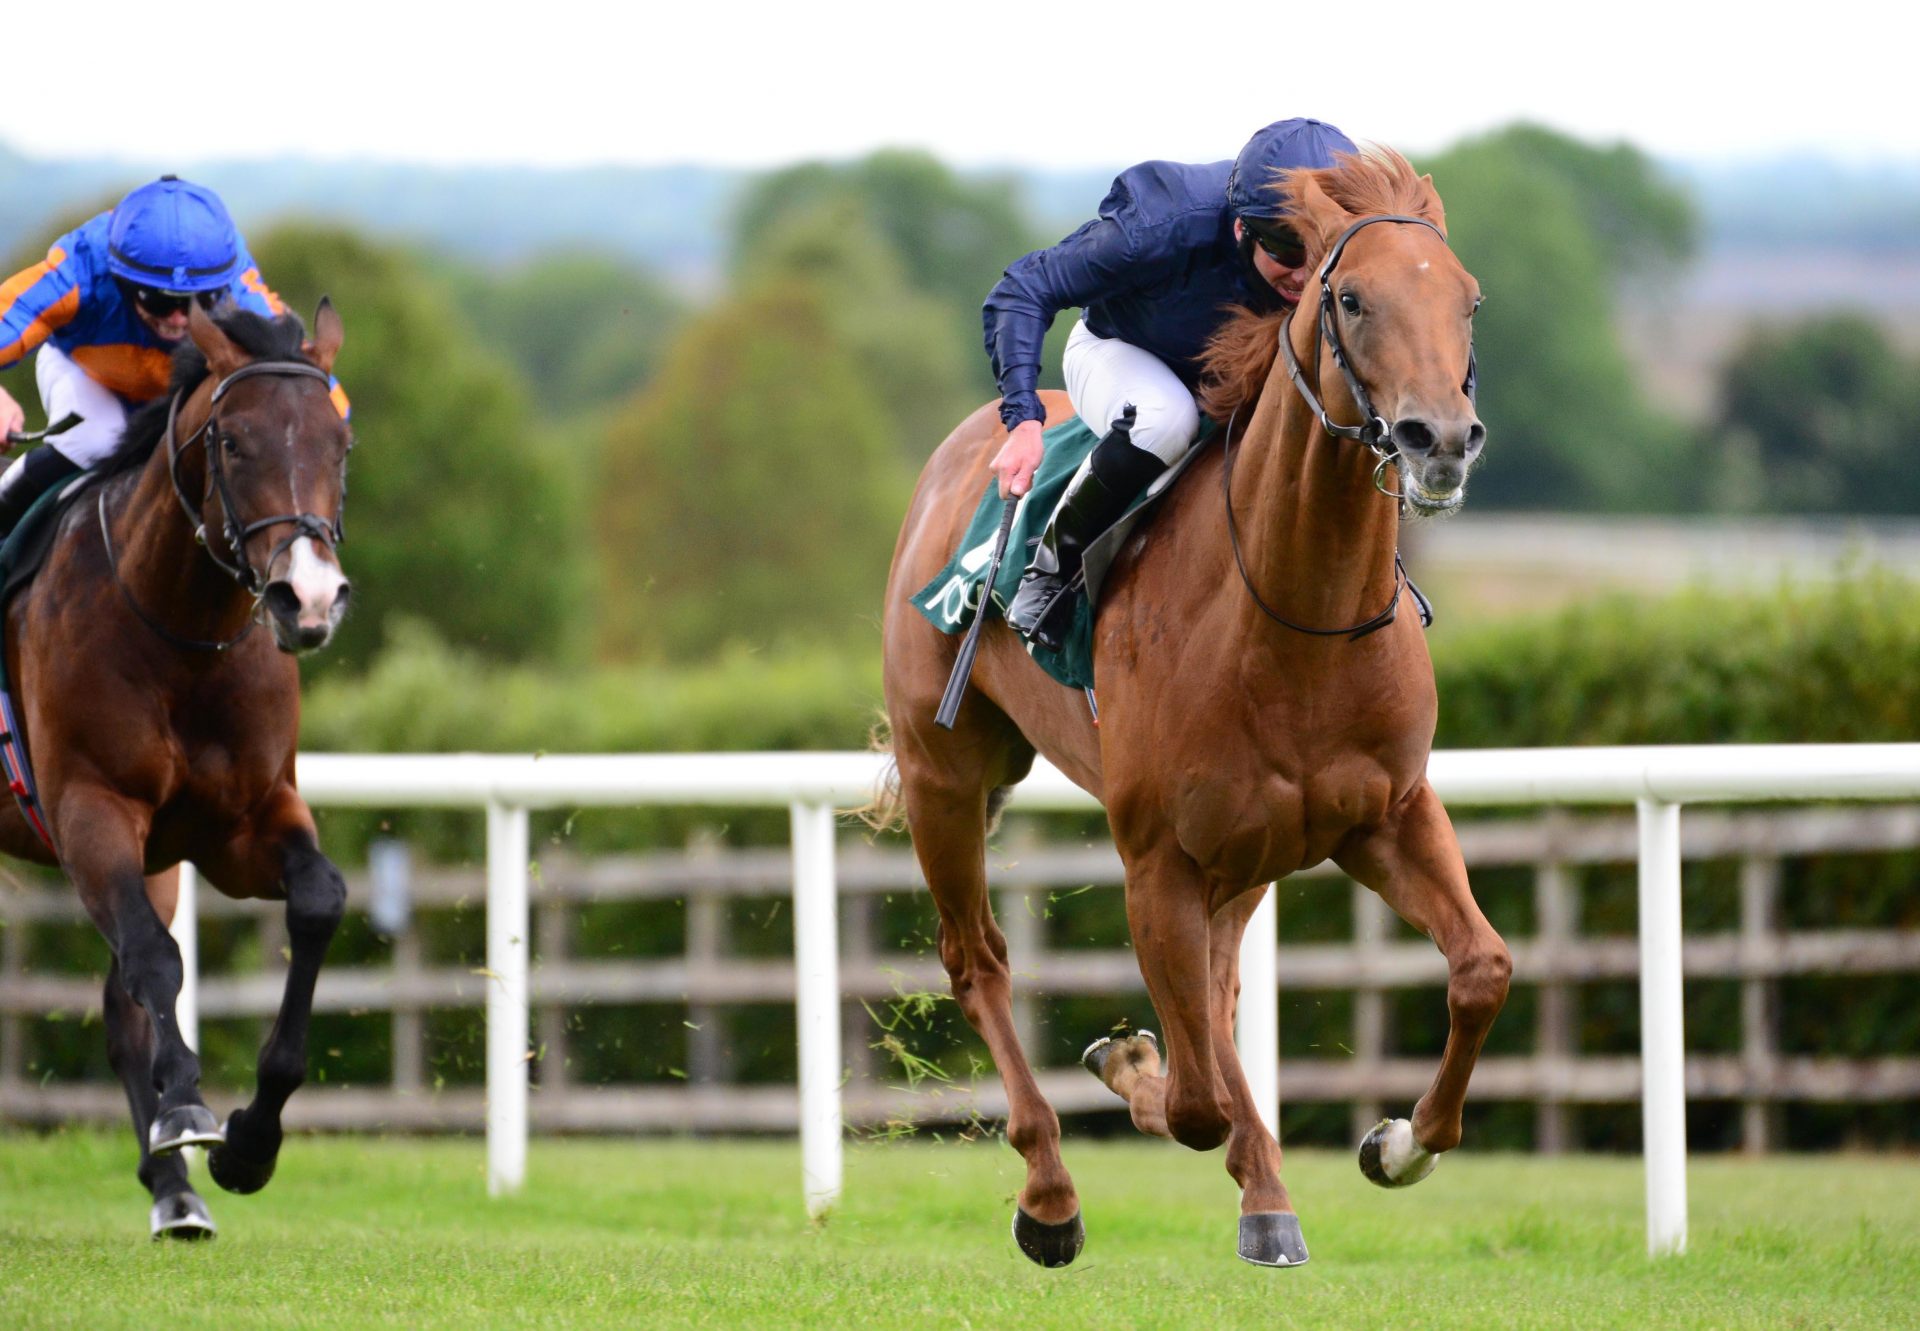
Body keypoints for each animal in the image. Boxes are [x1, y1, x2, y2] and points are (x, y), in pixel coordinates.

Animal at [1, 301, 355, 1236]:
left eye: (341, 441)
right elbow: (158, 959)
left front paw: (247, 1145)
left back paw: (175, 1192)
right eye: (232, 441)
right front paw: (188, 1108)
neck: (180, 630)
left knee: (121, 1011)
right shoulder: (90, 808)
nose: (308, 598)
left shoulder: (241, 823)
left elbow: (317, 900)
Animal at [875, 150, 1512, 1275]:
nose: (1440, 439)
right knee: (979, 959)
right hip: (943, 774)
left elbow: (1481, 968)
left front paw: (1398, 1143)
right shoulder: (1156, 857)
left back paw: (1264, 1193)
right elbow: (1197, 1097)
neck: (1296, 614)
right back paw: (1052, 1192)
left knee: (1214, 997)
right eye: (1352, 298)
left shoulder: (1385, 813)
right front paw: (1133, 1071)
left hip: (1247, 854)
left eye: (1466, 299)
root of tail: (960, 452)